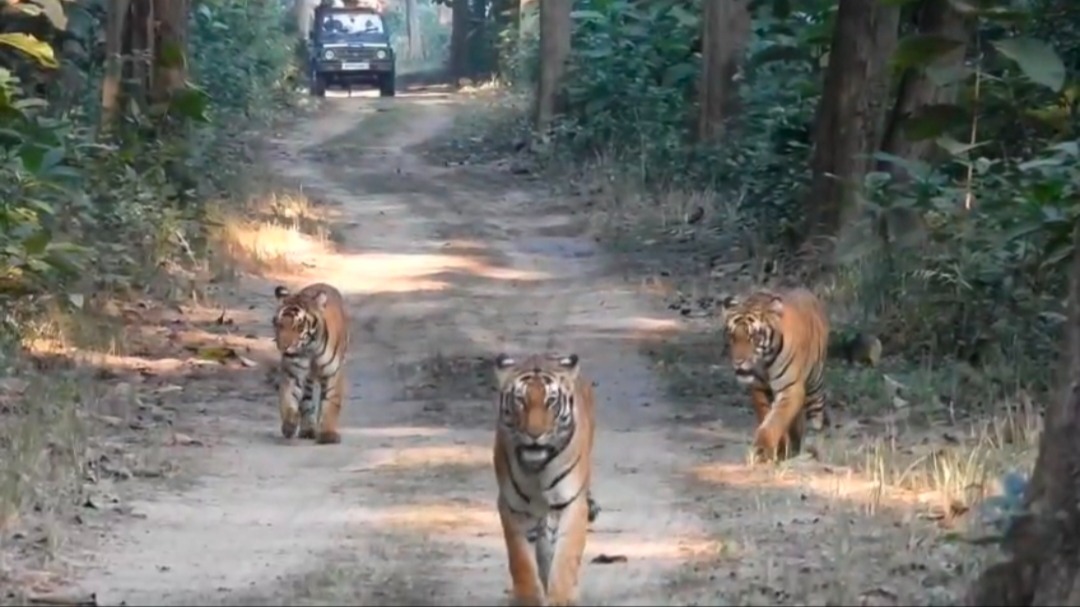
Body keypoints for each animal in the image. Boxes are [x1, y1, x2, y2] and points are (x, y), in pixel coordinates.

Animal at [272, 282, 350, 445]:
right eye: (279, 324)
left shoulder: (333, 373)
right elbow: (288, 398)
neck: (310, 348)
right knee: (306, 401)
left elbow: (331, 403)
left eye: (299, 327)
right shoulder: (293, 372)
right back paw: (307, 429)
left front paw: (328, 434)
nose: (283, 347)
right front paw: (289, 424)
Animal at [492, 352, 597, 607]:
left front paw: (562, 598)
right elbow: (520, 558)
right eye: (520, 400)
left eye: (551, 401)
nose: (534, 434)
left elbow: (566, 555)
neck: (537, 469)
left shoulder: (572, 504)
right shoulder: (512, 506)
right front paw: (528, 598)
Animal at [719, 286, 829, 461]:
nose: (738, 361)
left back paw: (815, 451)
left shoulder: (790, 389)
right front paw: (780, 447)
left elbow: (776, 420)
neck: (765, 362)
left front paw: (763, 449)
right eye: (732, 335)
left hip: (815, 385)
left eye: (754, 337)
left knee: (816, 418)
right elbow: (767, 415)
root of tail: (809, 293)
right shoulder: (758, 388)